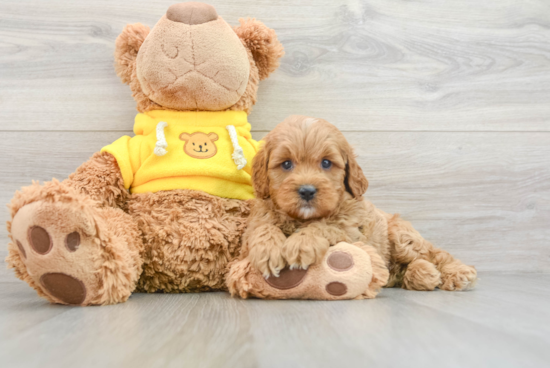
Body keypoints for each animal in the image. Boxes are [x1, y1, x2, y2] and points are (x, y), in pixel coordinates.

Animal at [242, 115, 478, 290]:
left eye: (326, 163)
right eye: (286, 164)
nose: (307, 191)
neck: (301, 219)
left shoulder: (351, 231)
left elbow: (325, 226)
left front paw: (301, 244)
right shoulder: (255, 223)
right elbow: (263, 227)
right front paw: (267, 250)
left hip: (401, 237)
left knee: (435, 253)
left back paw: (457, 273)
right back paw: (422, 274)